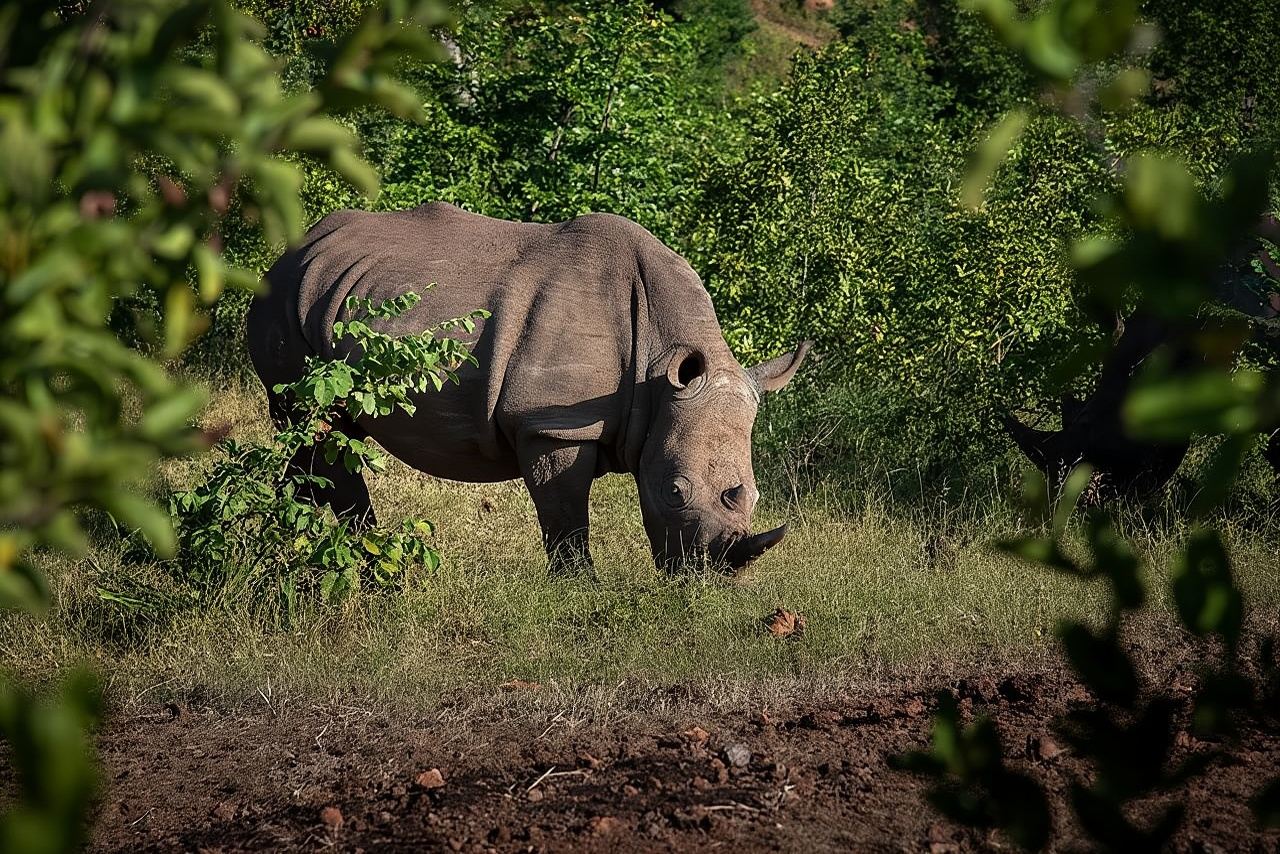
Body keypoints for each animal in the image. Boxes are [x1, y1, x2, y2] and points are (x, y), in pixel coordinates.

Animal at [247, 202, 809, 574]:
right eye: (674, 492)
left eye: (754, 495)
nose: (710, 578)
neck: (658, 364)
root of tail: (294, 250)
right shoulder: (553, 423)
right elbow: (565, 518)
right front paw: (580, 590)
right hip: (283, 303)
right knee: (313, 423)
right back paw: (368, 565)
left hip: (326, 295)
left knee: (323, 436)